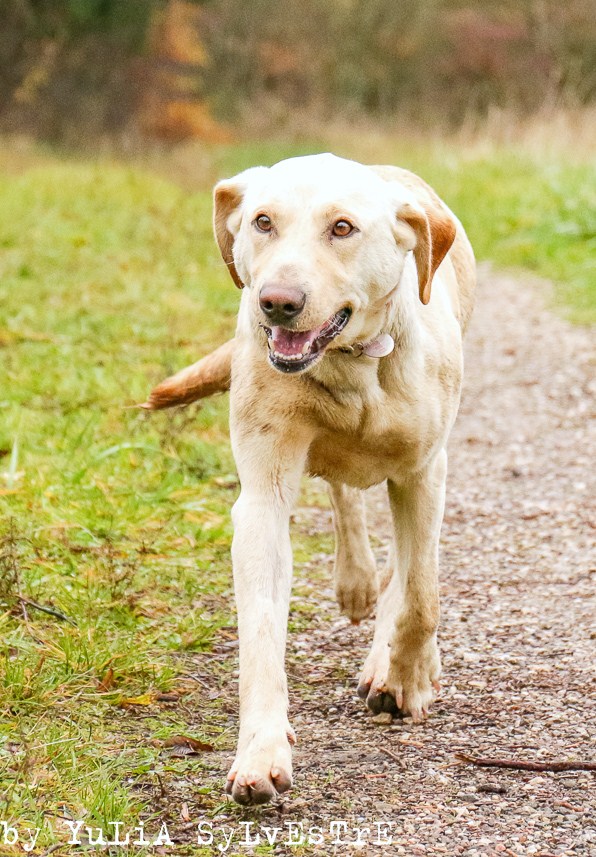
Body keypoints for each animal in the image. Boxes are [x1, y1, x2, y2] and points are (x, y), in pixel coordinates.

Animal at [141, 152, 474, 804]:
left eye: (342, 228)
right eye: (262, 221)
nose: (276, 302)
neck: (351, 364)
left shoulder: (424, 473)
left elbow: (421, 596)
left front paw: (406, 677)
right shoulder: (263, 496)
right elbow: (262, 631)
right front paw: (261, 752)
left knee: (407, 572)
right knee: (345, 494)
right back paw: (355, 581)